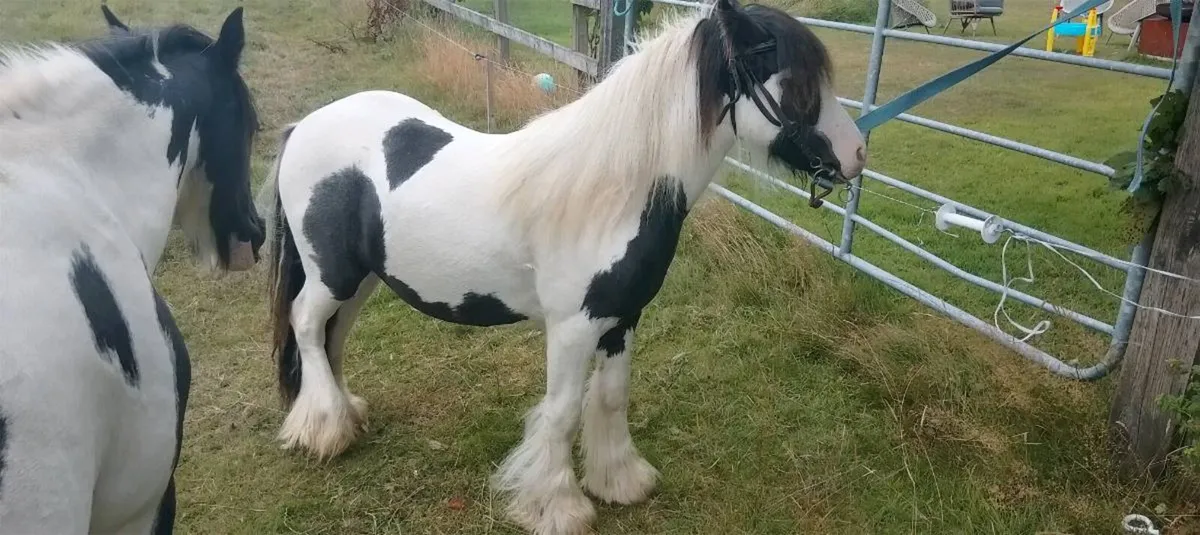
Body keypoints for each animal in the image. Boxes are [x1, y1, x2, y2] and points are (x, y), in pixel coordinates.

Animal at [262, 1, 864, 533]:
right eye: (799, 85)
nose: (857, 154)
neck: (614, 195)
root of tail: (304, 126)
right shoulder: (574, 328)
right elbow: (562, 412)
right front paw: (556, 507)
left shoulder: (622, 319)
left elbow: (612, 397)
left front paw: (620, 481)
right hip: (331, 275)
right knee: (307, 326)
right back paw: (325, 430)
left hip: (361, 278)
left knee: (333, 336)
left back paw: (346, 412)